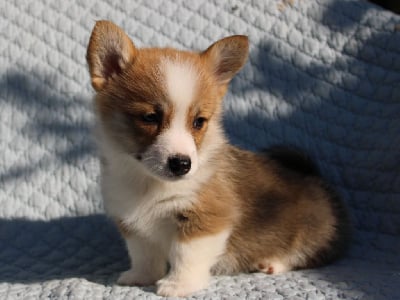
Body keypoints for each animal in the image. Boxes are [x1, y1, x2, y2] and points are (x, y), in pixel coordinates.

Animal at [86, 21, 350, 298]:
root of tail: (316, 179)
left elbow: (186, 255)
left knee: (309, 255)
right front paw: (139, 278)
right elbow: (143, 256)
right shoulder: (133, 226)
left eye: (198, 122)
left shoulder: (207, 219)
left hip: (309, 235)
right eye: (150, 117)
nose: (182, 164)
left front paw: (178, 285)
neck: (148, 183)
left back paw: (273, 263)